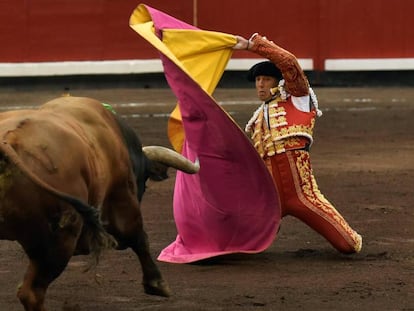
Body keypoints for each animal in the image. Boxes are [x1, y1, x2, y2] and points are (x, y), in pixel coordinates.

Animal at [0, 96, 199, 310]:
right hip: (59, 239)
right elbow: (139, 237)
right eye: (143, 180)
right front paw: (156, 283)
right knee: (31, 292)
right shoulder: (123, 200)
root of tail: (9, 141)